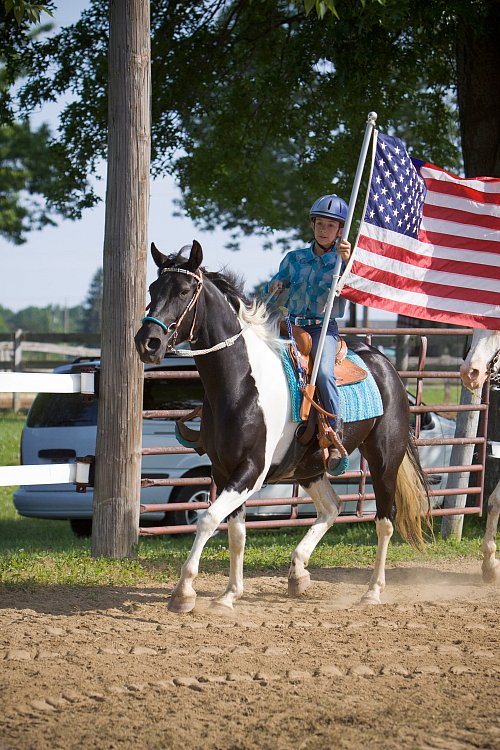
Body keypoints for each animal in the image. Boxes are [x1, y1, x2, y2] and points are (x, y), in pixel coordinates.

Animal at [134, 242, 430, 616]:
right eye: (152, 289)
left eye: (185, 291)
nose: (148, 342)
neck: (240, 384)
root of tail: (384, 364)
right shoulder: (224, 469)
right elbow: (236, 532)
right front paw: (229, 594)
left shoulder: (251, 470)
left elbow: (208, 519)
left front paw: (184, 592)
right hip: (310, 468)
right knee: (332, 507)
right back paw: (298, 573)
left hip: (384, 460)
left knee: (385, 520)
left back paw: (372, 591)